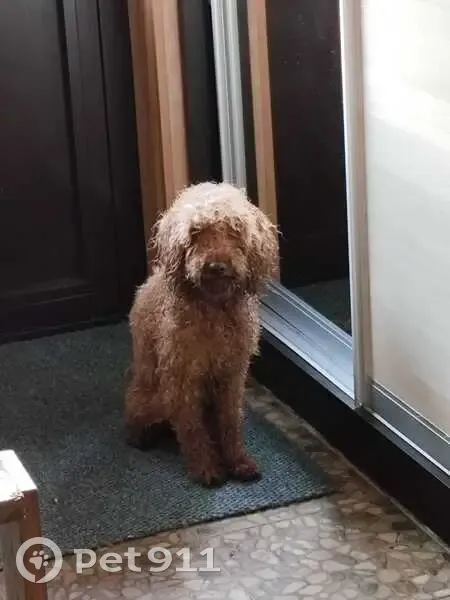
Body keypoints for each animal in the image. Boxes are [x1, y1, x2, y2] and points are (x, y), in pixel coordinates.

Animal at [125, 182, 279, 486]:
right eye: (195, 232)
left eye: (234, 229)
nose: (216, 266)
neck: (213, 308)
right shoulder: (182, 379)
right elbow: (191, 428)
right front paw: (206, 468)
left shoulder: (232, 376)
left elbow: (230, 422)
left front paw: (238, 462)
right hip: (150, 398)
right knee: (137, 415)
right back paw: (141, 436)